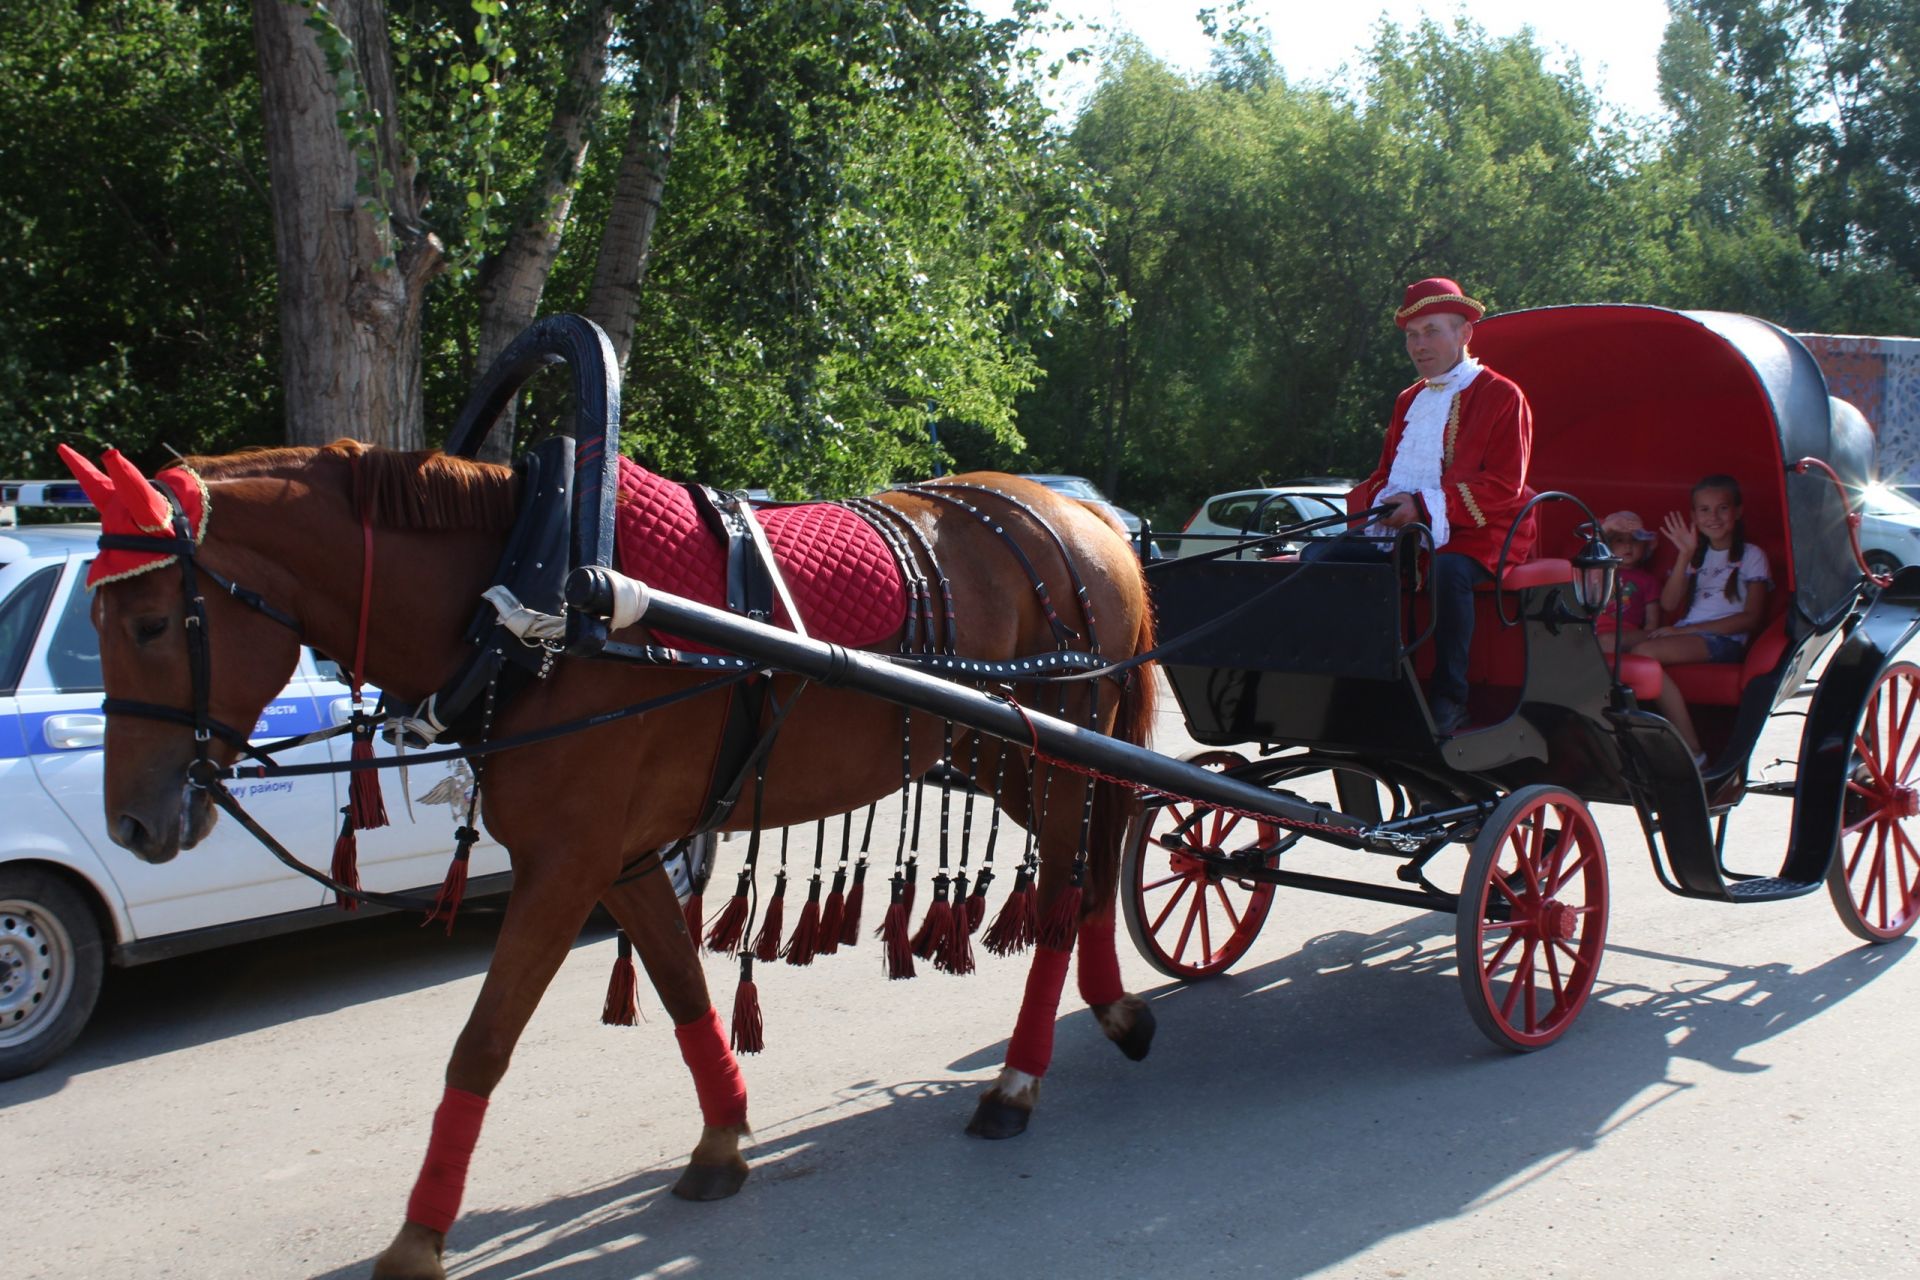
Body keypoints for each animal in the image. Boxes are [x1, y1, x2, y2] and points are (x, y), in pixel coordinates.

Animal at [67, 443, 1159, 1280]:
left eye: (153, 623)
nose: (131, 822)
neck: (535, 604)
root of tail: (1088, 519)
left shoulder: (565, 863)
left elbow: (481, 1043)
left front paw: (419, 1236)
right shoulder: (618, 858)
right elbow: (680, 985)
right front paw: (721, 1136)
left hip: (1054, 753)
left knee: (1067, 891)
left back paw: (1016, 1082)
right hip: (1001, 754)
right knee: (1091, 873)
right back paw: (1113, 1008)